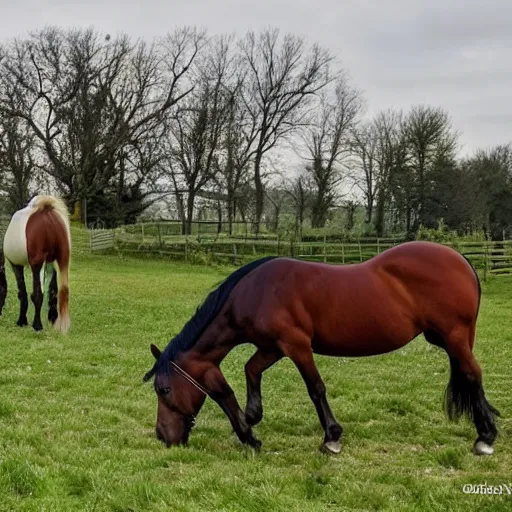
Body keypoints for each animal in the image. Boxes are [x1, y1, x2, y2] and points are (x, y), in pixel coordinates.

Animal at [0, 195, 71, 332]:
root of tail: (47, 215)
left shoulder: (16, 265)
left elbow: (23, 293)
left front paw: (22, 321)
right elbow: (52, 290)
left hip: (37, 265)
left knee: (38, 294)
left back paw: (37, 325)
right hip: (60, 260)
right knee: (59, 290)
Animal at [144, 243, 500, 456]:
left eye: (164, 390)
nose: (162, 435)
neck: (255, 292)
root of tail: (461, 260)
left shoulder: (296, 345)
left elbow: (315, 388)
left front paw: (331, 437)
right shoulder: (272, 347)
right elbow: (250, 370)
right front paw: (252, 419)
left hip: (454, 336)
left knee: (473, 374)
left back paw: (485, 437)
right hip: (446, 339)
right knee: (469, 375)